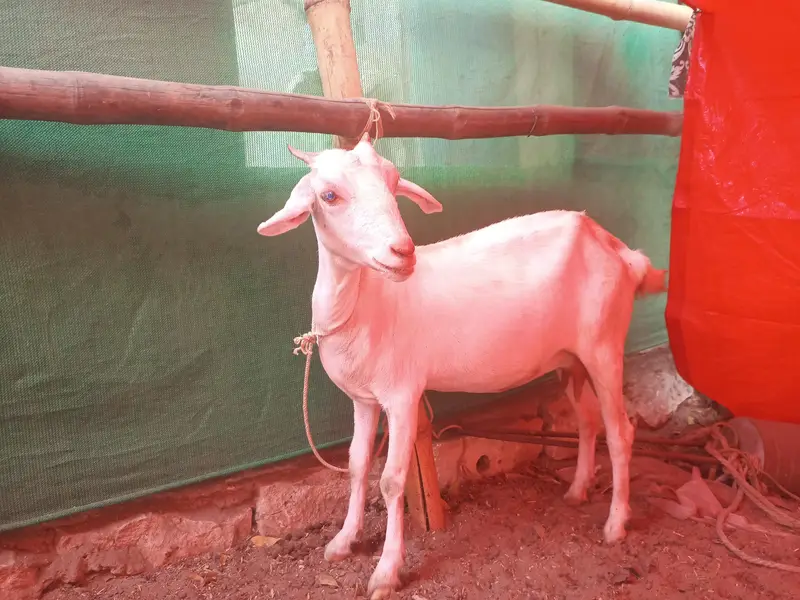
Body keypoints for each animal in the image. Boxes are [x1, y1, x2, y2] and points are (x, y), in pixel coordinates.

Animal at [257, 134, 667, 600]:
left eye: (394, 183)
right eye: (328, 195)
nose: (403, 252)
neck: (368, 303)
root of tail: (622, 252)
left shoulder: (402, 395)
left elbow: (392, 480)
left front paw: (387, 571)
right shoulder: (363, 399)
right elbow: (357, 465)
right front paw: (343, 542)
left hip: (604, 347)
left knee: (620, 431)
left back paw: (615, 524)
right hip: (572, 360)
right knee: (586, 420)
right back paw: (578, 491)